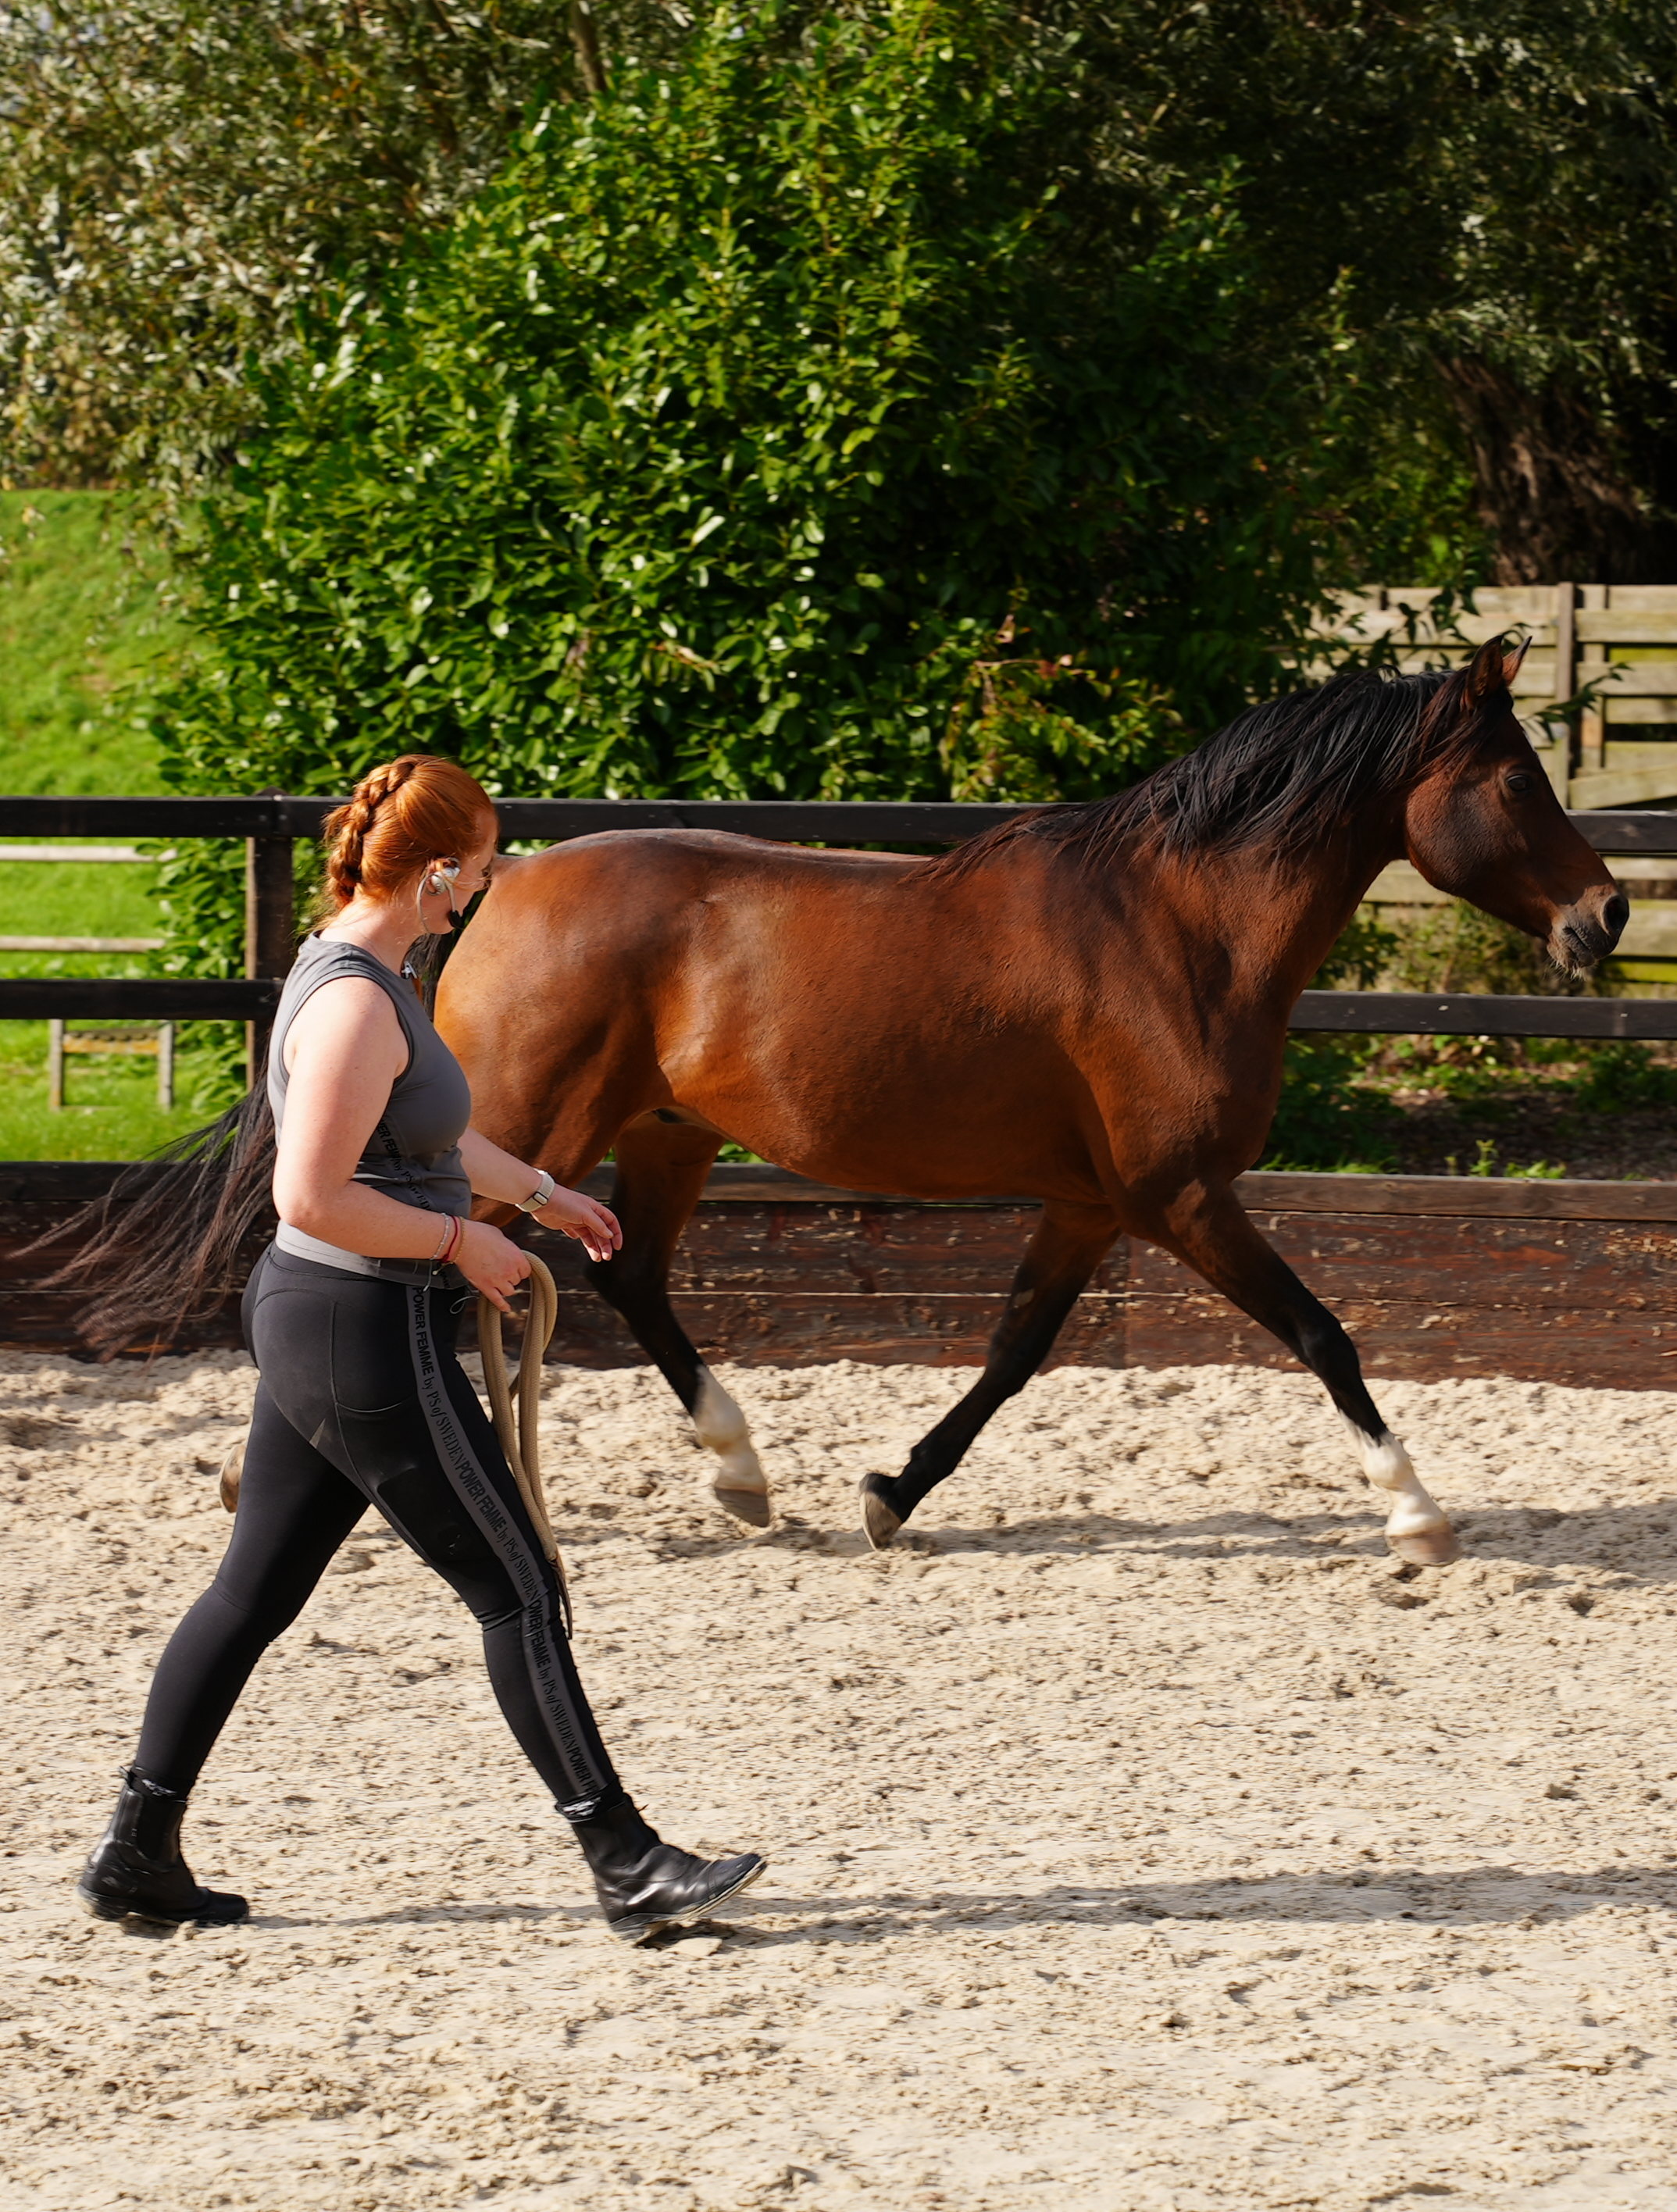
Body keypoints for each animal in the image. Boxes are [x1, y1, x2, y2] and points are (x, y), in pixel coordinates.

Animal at [434, 636, 1626, 1564]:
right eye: (1518, 782)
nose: (1606, 914)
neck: (1182, 929)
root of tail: (507, 884)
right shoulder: (1180, 1197)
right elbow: (1322, 1334)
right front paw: (1415, 1515)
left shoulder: (1091, 1207)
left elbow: (1013, 1353)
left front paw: (889, 1496)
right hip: (528, 1137)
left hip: (666, 1135)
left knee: (628, 1276)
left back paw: (741, 1474)